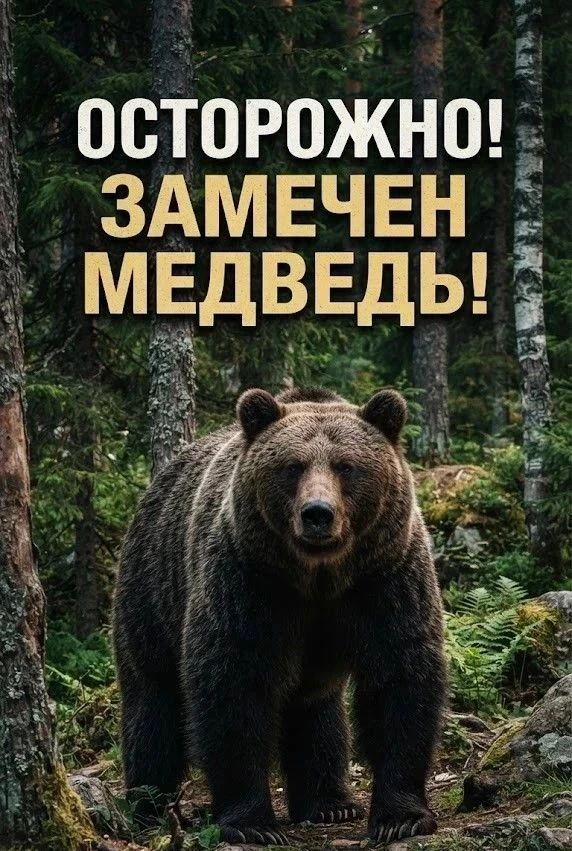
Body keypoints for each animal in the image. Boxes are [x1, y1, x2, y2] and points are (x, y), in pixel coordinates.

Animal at [112, 386, 446, 846]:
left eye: (346, 466)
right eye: (292, 466)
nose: (318, 513)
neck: (319, 577)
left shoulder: (385, 578)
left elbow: (400, 677)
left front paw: (401, 816)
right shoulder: (248, 582)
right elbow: (233, 684)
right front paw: (253, 823)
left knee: (317, 708)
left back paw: (329, 803)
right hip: (151, 591)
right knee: (152, 701)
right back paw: (148, 805)